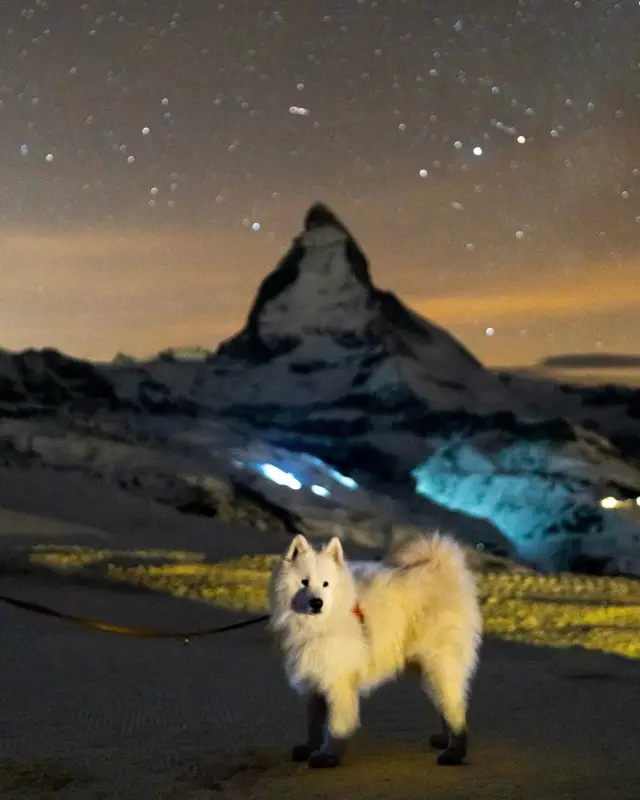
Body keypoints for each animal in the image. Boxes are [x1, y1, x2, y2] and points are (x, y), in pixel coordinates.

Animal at [268, 532, 482, 768]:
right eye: (304, 582)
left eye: (326, 584)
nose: (317, 602)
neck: (320, 625)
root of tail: (442, 568)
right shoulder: (316, 678)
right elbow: (313, 722)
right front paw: (309, 747)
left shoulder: (339, 681)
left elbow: (335, 725)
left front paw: (328, 755)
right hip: (427, 668)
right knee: (444, 704)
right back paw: (444, 740)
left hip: (439, 663)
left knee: (455, 709)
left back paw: (454, 752)